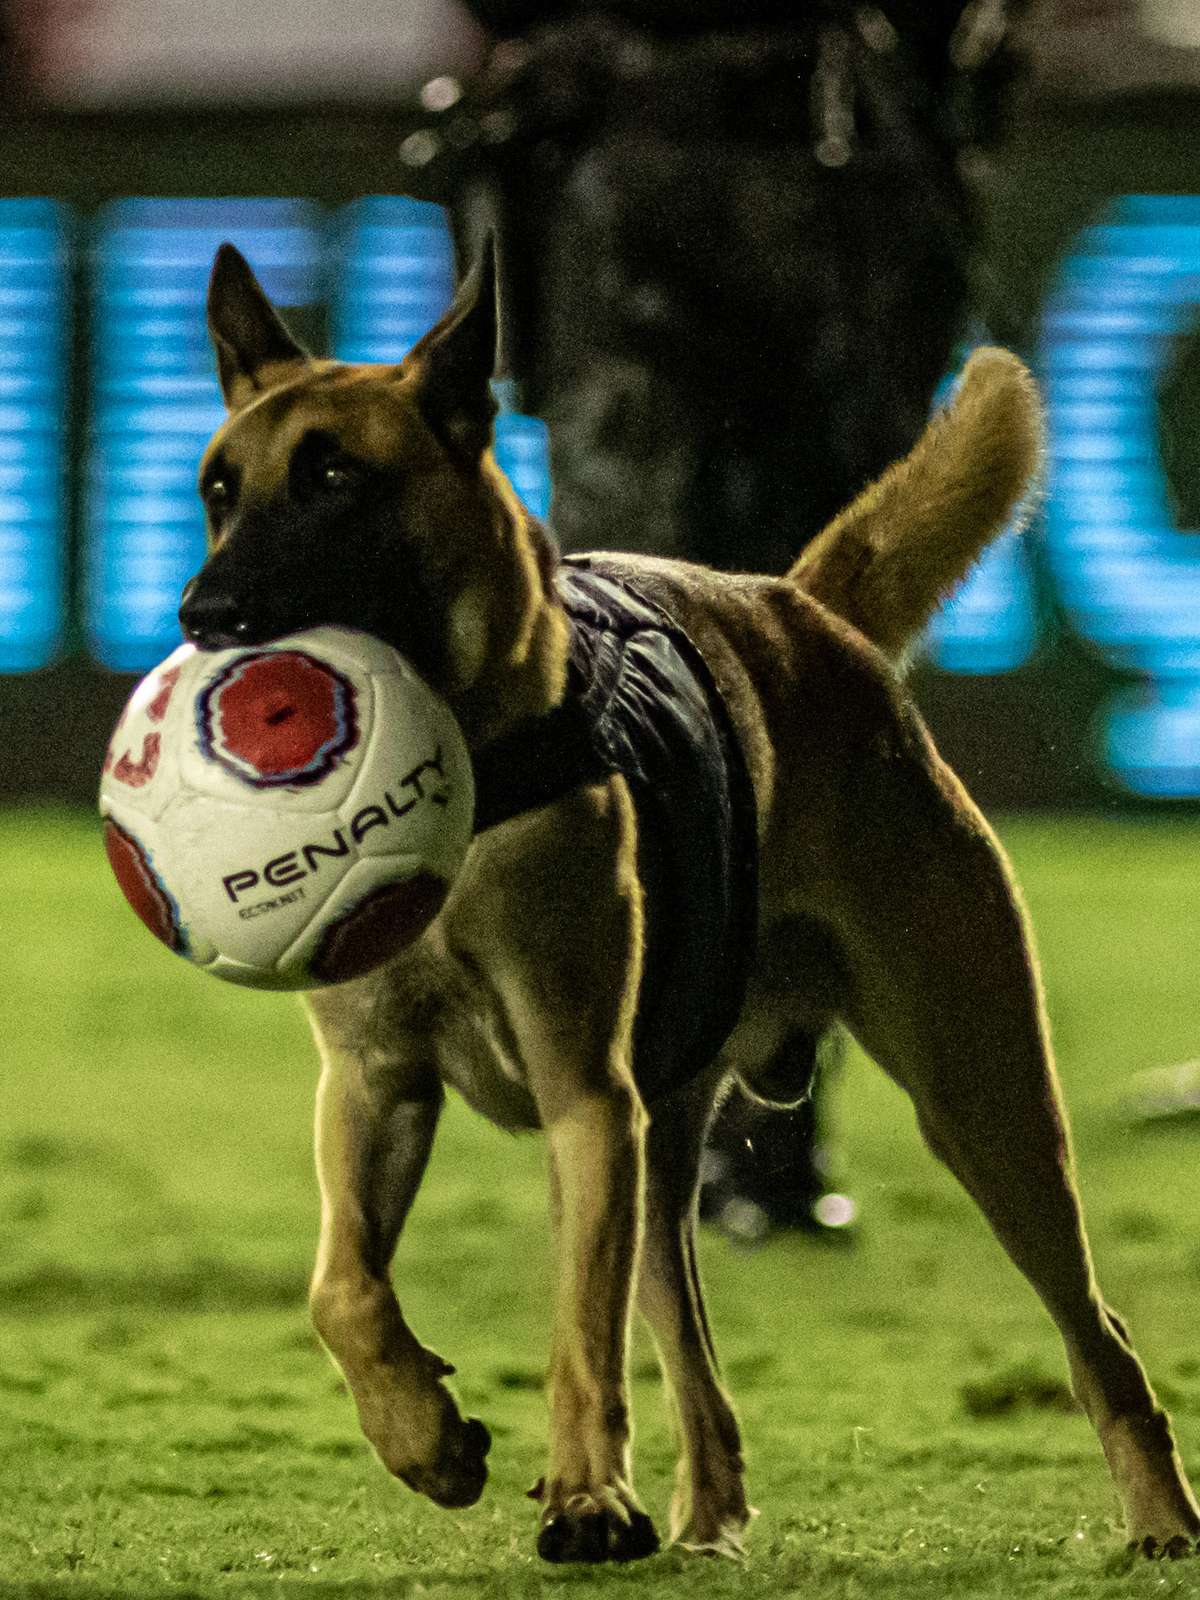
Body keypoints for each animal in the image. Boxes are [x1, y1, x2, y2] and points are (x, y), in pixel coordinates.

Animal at [178, 243, 1200, 1568]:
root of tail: (804, 611)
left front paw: (582, 1497)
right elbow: (343, 1289)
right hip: (663, 1150)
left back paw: (1160, 1518)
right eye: (219, 488)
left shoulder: (580, 1093)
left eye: (334, 476)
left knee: (1098, 1334)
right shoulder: (374, 1086)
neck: (470, 761)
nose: (205, 617)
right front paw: (424, 1435)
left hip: (982, 1105)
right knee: (696, 1362)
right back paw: (706, 1520)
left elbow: (579, 1333)